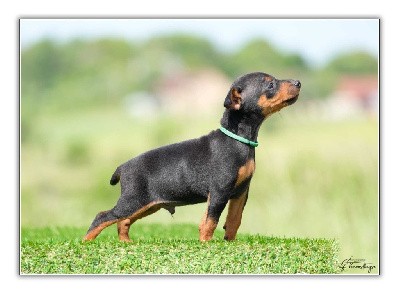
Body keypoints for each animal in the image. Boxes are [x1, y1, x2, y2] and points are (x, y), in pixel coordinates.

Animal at [83, 72, 300, 243]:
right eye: (270, 84)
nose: (298, 82)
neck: (238, 140)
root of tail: (123, 167)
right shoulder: (219, 190)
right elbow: (210, 221)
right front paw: (206, 243)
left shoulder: (241, 192)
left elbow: (234, 220)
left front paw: (230, 243)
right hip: (134, 200)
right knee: (103, 216)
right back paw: (86, 242)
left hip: (148, 204)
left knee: (123, 221)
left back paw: (126, 243)